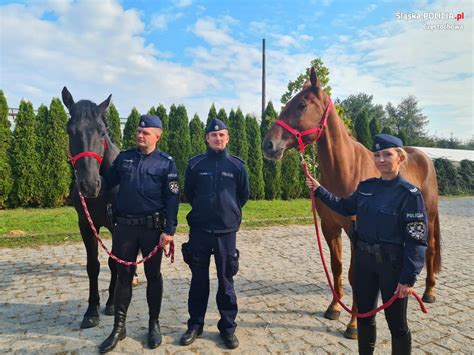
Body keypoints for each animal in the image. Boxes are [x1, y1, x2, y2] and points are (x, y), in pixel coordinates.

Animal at [262, 69, 440, 340]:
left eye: (301, 105)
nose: (268, 145)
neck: (345, 169)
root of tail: (424, 157)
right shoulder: (330, 228)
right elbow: (336, 268)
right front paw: (334, 308)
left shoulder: (357, 232)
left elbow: (356, 276)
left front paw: (354, 324)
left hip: (427, 217)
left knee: (429, 250)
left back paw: (429, 292)